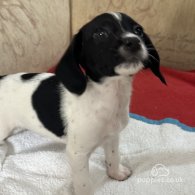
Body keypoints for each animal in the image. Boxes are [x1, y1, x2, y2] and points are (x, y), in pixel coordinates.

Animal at [0, 12, 165, 195]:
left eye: (138, 30)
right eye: (100, 34)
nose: (134, 41)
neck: (108, 97)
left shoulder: (112, 137)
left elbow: (113, 157)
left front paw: (116, 173)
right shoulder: (77, 154)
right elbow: (84, 184)